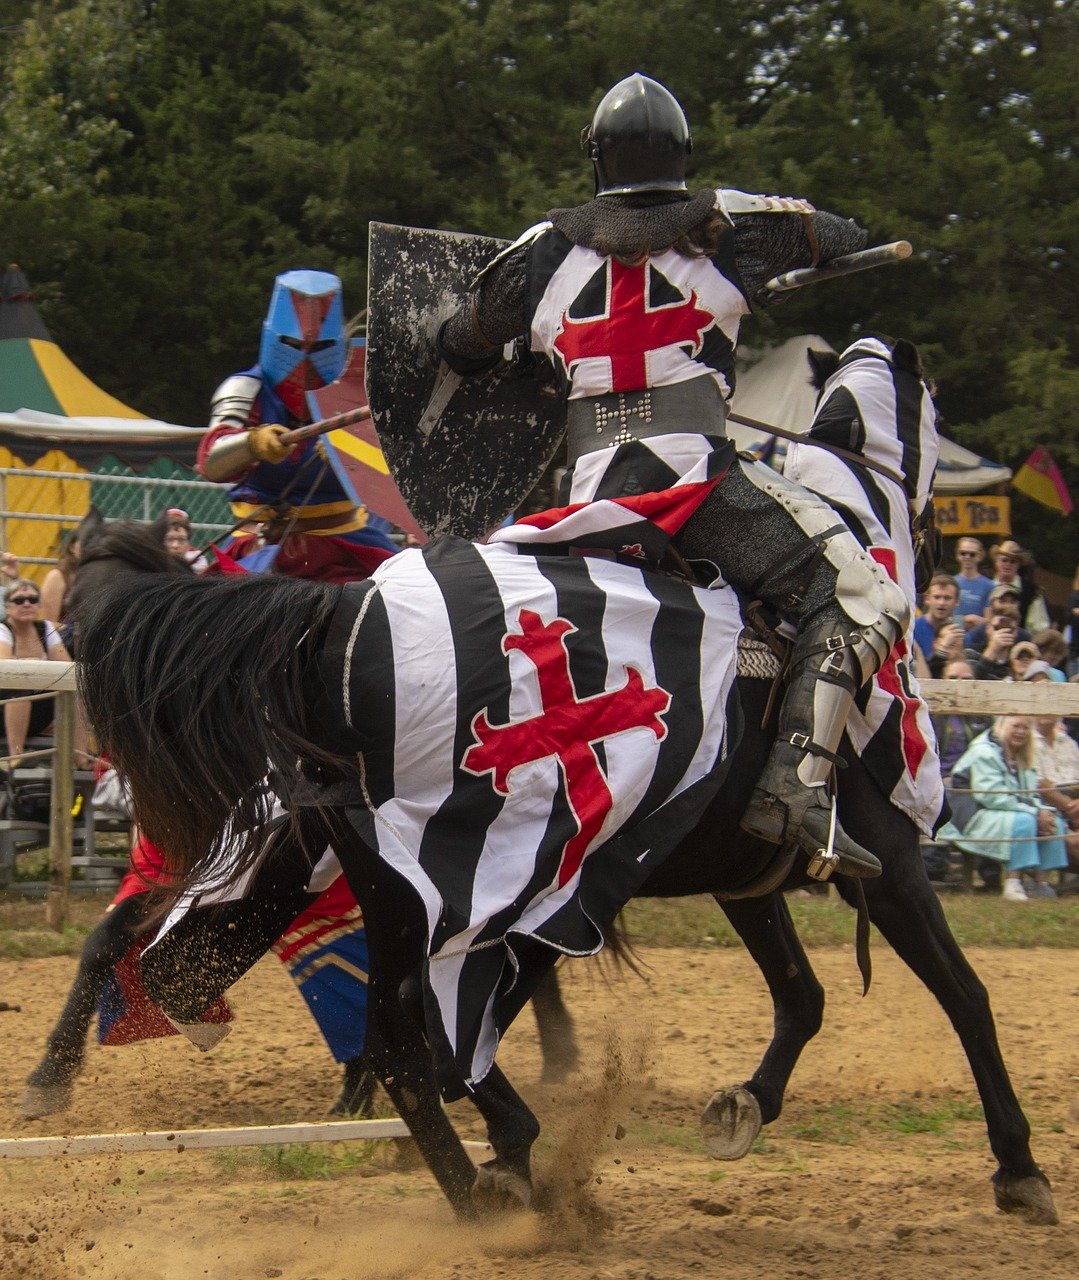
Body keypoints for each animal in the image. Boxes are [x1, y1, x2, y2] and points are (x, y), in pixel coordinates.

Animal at [69, 542, 1064, 1228]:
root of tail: (337, 622)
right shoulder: (887, 865)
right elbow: (964, 996)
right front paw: (1018, 1167)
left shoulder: (742, 882)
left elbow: (803, 995)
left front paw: (745, 1105)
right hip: (433, 885)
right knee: (412, 1031)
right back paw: (500, 1176)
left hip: (369, 876)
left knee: (380, 1031)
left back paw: (485, 1184)